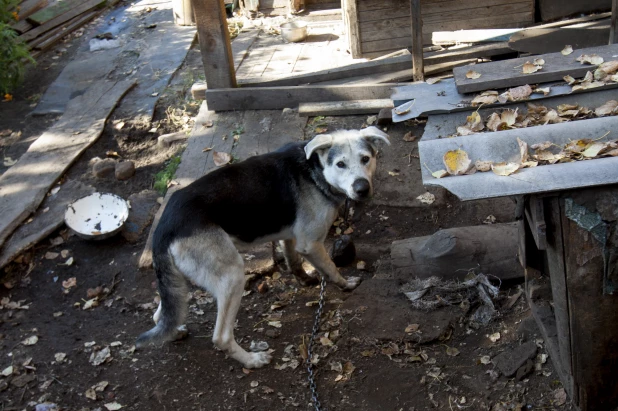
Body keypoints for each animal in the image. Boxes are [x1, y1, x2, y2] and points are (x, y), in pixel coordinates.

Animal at [138, 126, 390, 370]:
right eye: (340, 164)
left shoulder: (292, 238)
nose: (362, 188)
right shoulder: (311, 244)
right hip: (232, 276)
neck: (313, 169)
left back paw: (175, 332)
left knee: (160, 314)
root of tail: (163, 228)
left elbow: (293, 262)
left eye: (365, 159)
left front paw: (305, 280)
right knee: (221, 337)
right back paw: (252, 360)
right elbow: (331, 268)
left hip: (180, 281)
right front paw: (346, 284)